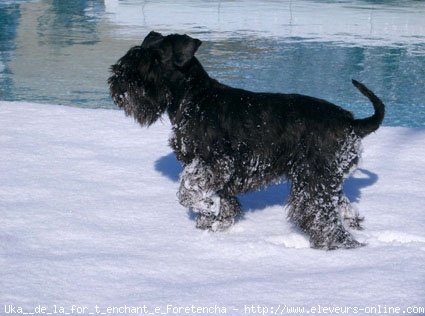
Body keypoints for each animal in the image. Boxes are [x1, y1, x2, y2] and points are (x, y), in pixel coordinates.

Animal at [107, 31, 384, 249]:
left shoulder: (213, 163)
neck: (194, 99)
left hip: (313, 181)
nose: (118, 78)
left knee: (323, 218)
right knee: (343, 206)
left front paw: (205, 208)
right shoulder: (218, 170)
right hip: (325, 180)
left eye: (155, 59)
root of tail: (350, 122)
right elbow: (224, 202)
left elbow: (187, 191)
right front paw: (212, 225)